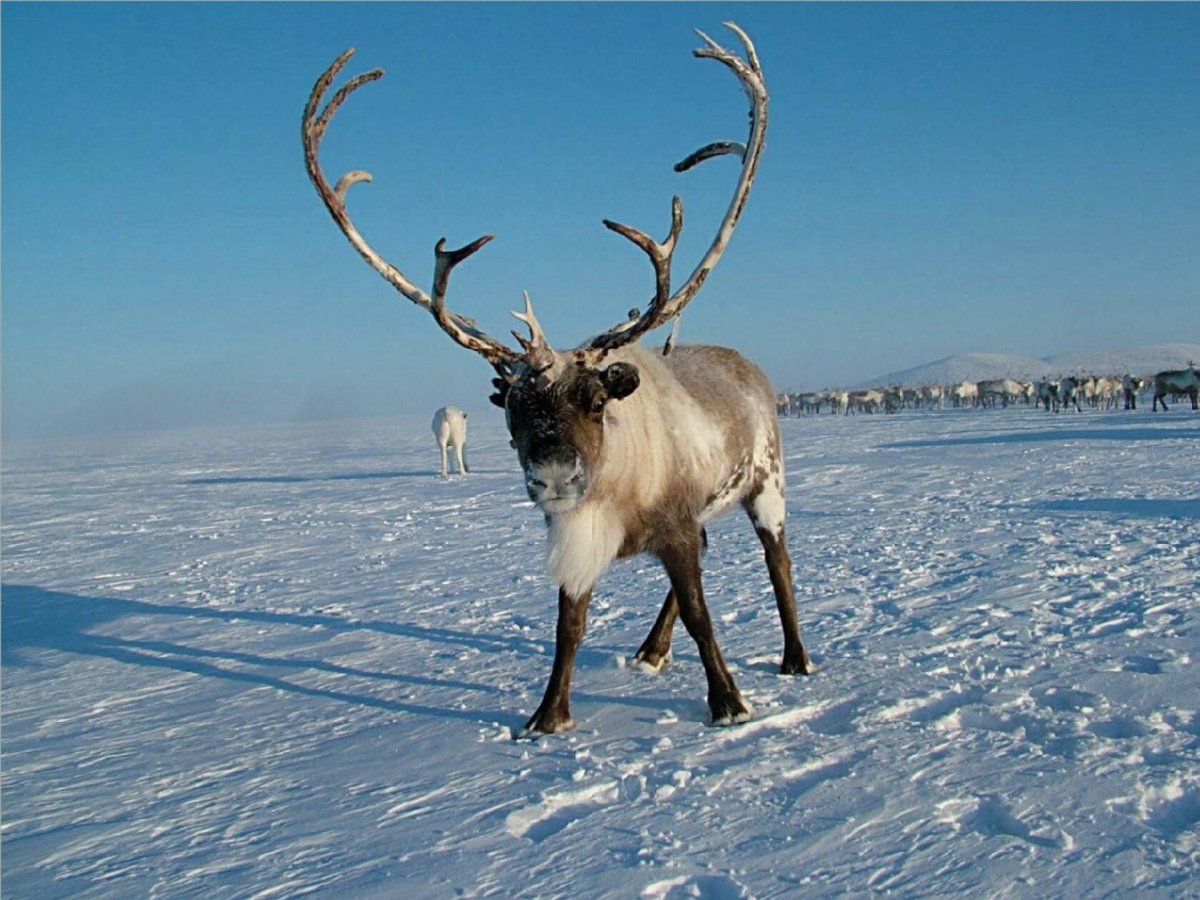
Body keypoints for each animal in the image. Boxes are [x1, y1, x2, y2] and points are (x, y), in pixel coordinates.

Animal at [302, 23, 811, 737]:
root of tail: (751, 367)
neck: (617, 490)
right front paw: (547, 717)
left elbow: (704, 615)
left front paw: (729, 704)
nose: (554, 476)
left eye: (596, 399)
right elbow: (568, 627)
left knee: (779, 563)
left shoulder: (676, 524)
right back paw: (650, 652)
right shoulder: (573, 533)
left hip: (767, 482)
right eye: (511, 404)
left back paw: (795, 658)